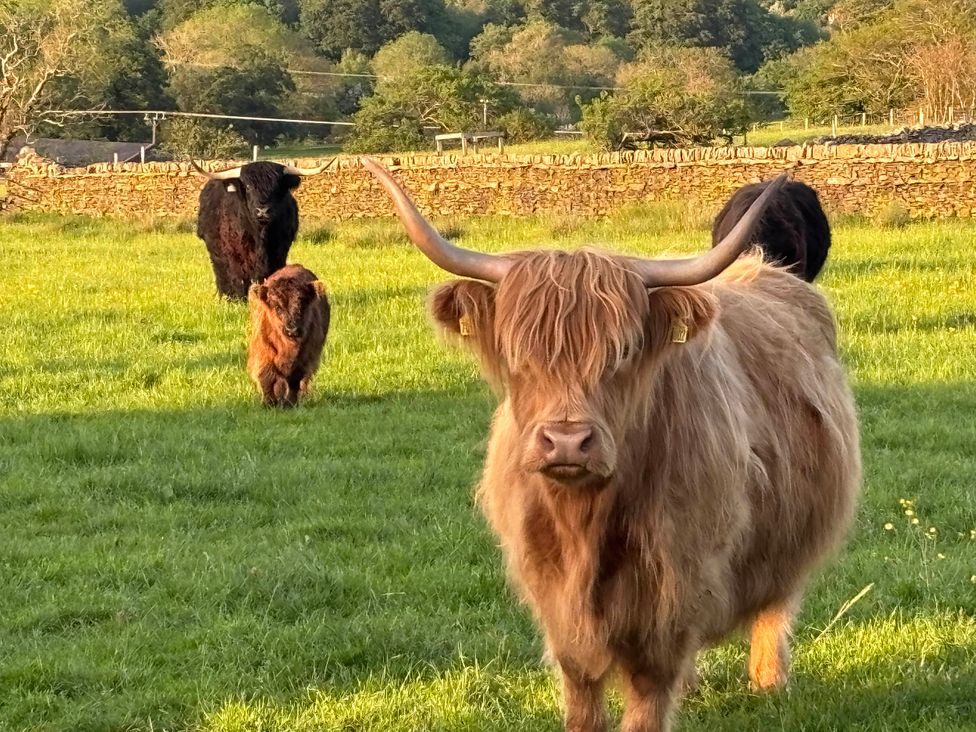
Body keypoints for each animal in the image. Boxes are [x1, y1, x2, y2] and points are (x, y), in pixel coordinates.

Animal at [192, 160, 332, 300]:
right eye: (248, 186)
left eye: (277, 187)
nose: (262, 211)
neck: (260, 235)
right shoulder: (233, 252)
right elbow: (237, 277)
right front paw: (239, 298)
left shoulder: (278, 252)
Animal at [247, 264, 330, 407]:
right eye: (276, 306)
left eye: (302, 305)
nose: (292, 330)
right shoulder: (263, 352)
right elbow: (266, 376)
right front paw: (269, 403)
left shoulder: (304, 357)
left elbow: (294, 380)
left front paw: (291, 403)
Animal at [362, 157, 861, 732]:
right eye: (517, 354)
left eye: (621, 353)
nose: (566, 442)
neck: (587, 523)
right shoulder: (554, 595)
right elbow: (581, 687)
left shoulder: (672, 590)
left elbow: (649, 692)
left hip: (791, 539)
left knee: (774, 605)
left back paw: (769, 682)